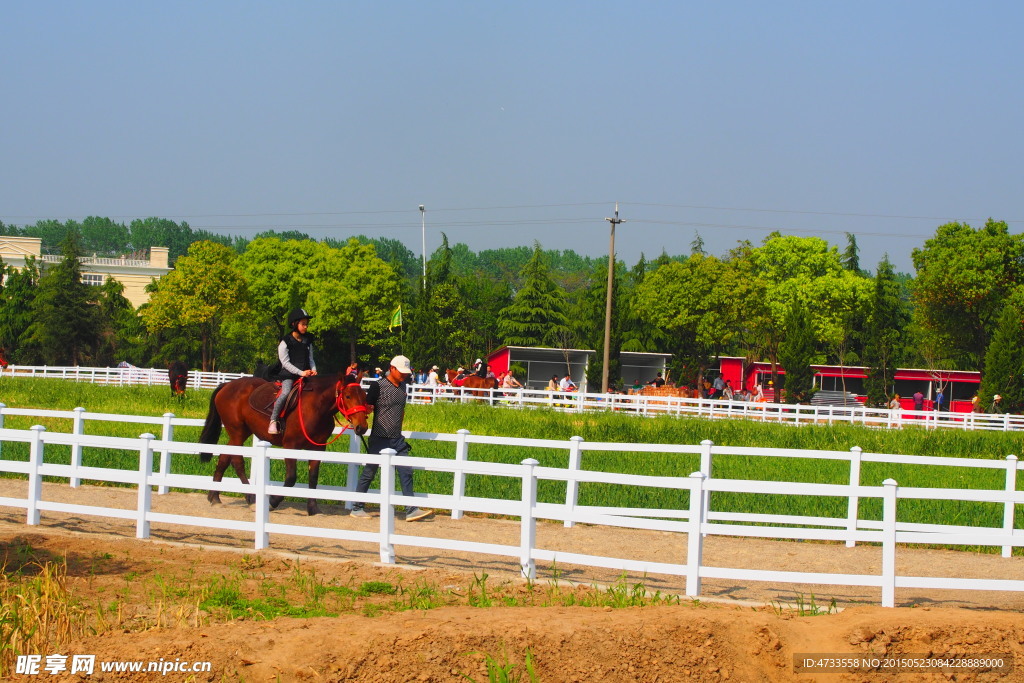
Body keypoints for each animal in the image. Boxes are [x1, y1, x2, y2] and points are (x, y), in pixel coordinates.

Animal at [195, 376, 368, 516]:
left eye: (364, 396)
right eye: (348, 396)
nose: (362, 427)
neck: (315, 407)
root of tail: (227, 385)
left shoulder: (317, 448)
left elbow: (313, 477)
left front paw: (313, 508)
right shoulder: (291, 446)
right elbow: (291, 478)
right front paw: (272, 502)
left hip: (239, 434)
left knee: (224, 458)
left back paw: (214, 497)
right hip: (237, 433)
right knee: (237, 462)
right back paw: (251, 499)